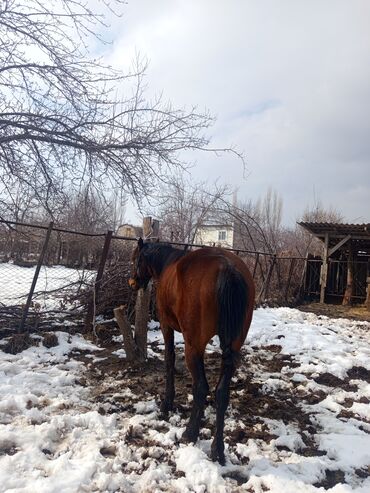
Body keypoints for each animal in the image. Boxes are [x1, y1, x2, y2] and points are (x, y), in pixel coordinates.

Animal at [128, 240, 254, 464]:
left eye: (136, 259)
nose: (132, 283)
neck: (167, 263)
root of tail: (227, 268)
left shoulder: (166, 326)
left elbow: (169, 359)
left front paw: (167, 403)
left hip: (193, 346)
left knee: (201, 386)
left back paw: (190, 433)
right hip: (233, 346)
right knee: (222, 392)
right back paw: (217, 449)